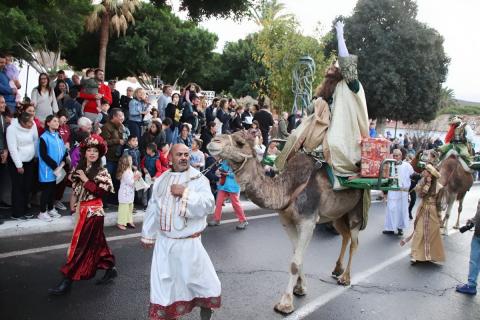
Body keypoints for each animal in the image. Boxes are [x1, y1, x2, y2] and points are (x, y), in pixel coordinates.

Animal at [206, 131, 368, 314]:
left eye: (239, 142)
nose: (213, 141)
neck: (287, 190)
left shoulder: (308, 221)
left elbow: (295, 262)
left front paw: (285, 303)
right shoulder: (287, 222)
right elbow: (297, 254)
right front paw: (300, 288)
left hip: (357, 211)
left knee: (354, 241)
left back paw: (345, 278)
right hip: (338, 215)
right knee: (345, 235)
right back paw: (337, 269)